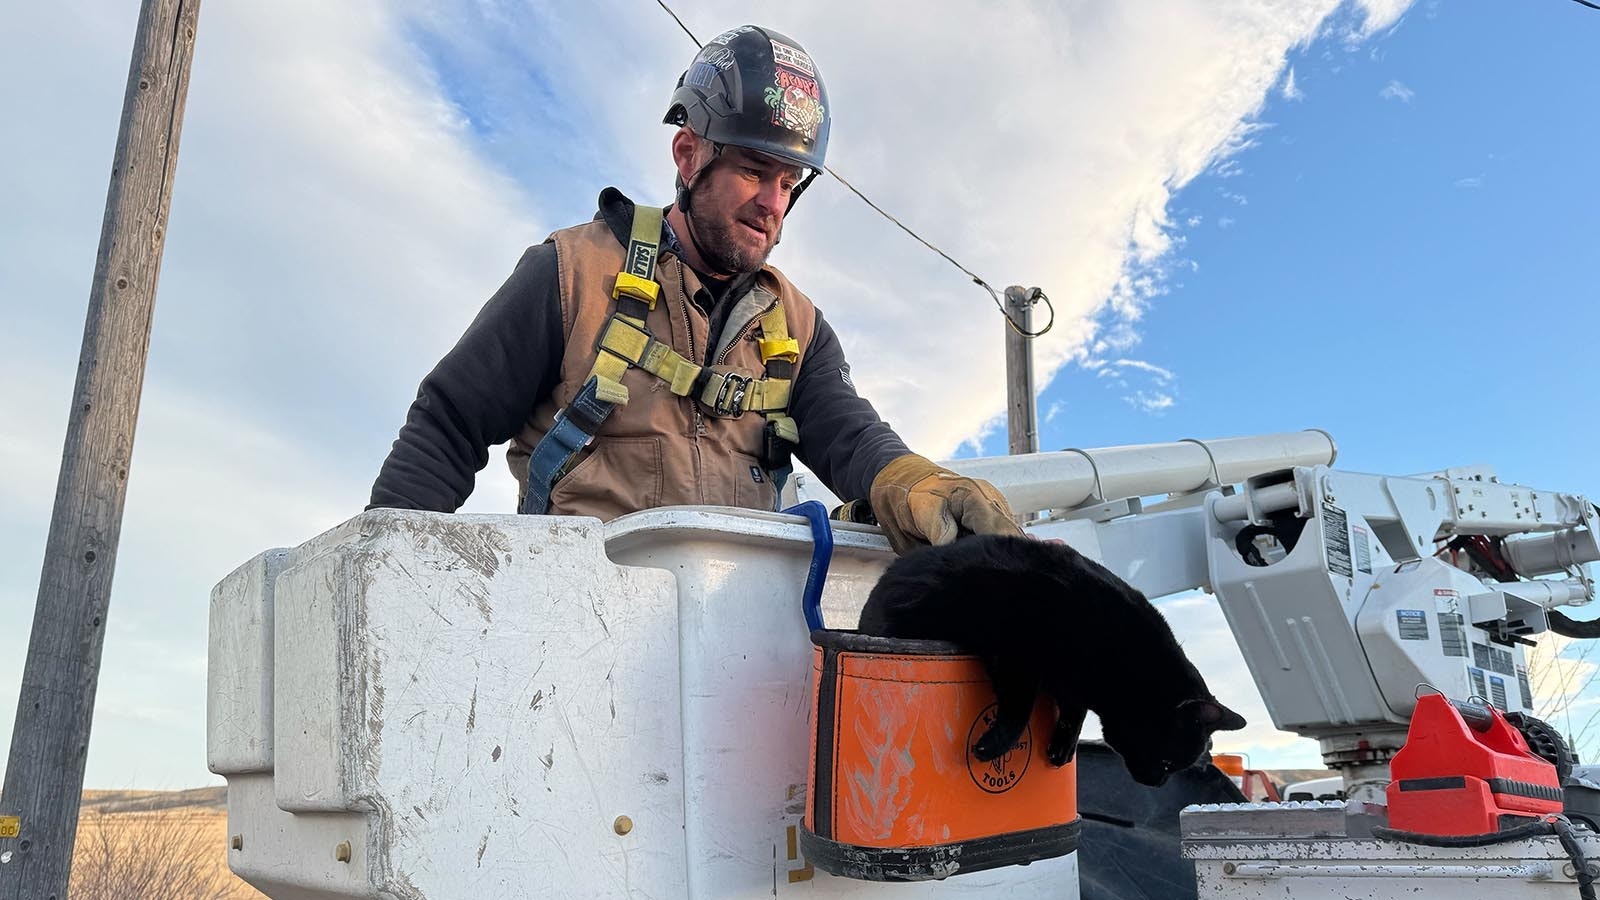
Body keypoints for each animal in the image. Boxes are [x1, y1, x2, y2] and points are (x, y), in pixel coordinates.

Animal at [864, 531, 1248, 784]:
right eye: (1168, 762)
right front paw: (997, 743)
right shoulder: (1017, 652)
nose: (1155, 783)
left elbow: (1074, 710)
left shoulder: (1070, 683)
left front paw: (1064, 744)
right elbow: (1019, 706)